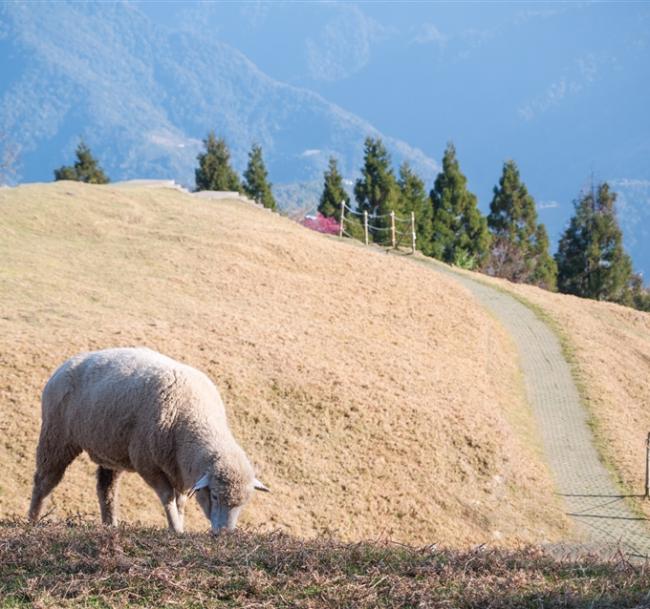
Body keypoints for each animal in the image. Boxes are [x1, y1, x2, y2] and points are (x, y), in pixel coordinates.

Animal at [27, 346, 266, 532]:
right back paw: (33, 520)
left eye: (243, 503)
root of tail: (64, 365)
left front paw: (180, 524)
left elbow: (180, 501)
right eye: (215, 496)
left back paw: (110, 525)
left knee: (106, 490)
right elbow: (168, 497)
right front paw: (175, 529)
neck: (194, 418)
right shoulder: (148, 464)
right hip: (56, 436)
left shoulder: (179, 469)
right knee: (44, 481)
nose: (225, 532)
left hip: (109, 451)